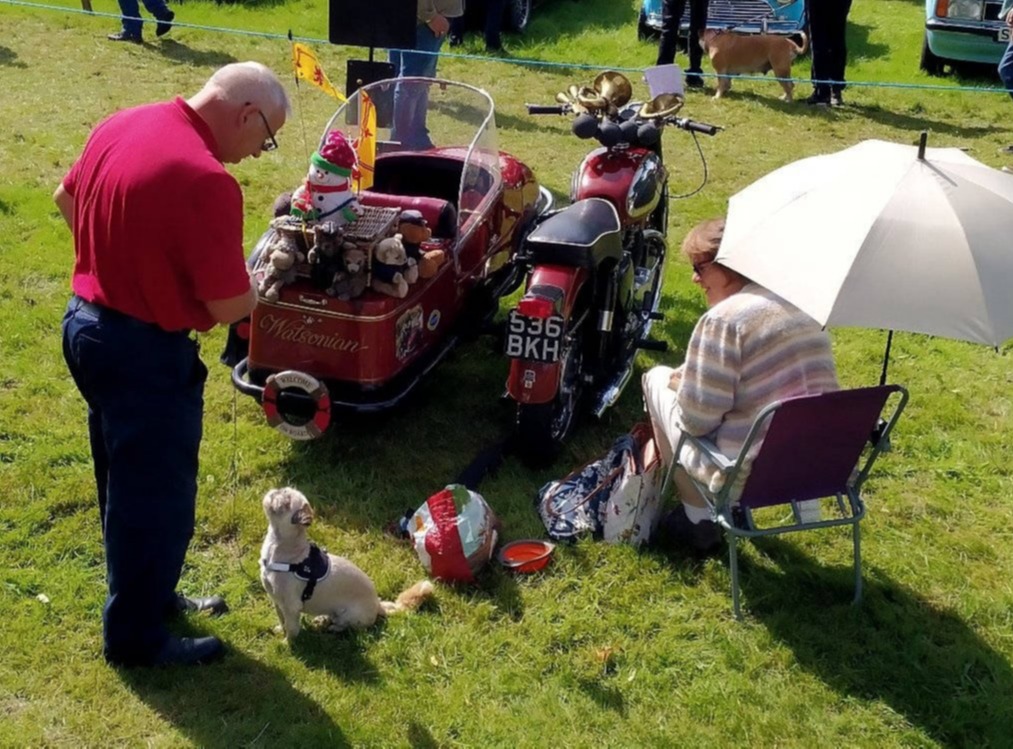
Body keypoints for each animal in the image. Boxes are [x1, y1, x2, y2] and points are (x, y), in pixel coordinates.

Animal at [257, 488, 431, 640]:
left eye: (286, 502)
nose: (276, 491)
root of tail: (378, 605)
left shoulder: (291, 607)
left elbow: (292, 629)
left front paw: (287, 644)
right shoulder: (277, 601)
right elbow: (282, 620)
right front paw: (280, 630)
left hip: (350, 616)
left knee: (345, 626)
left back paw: (333, 627)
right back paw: (322, 619)